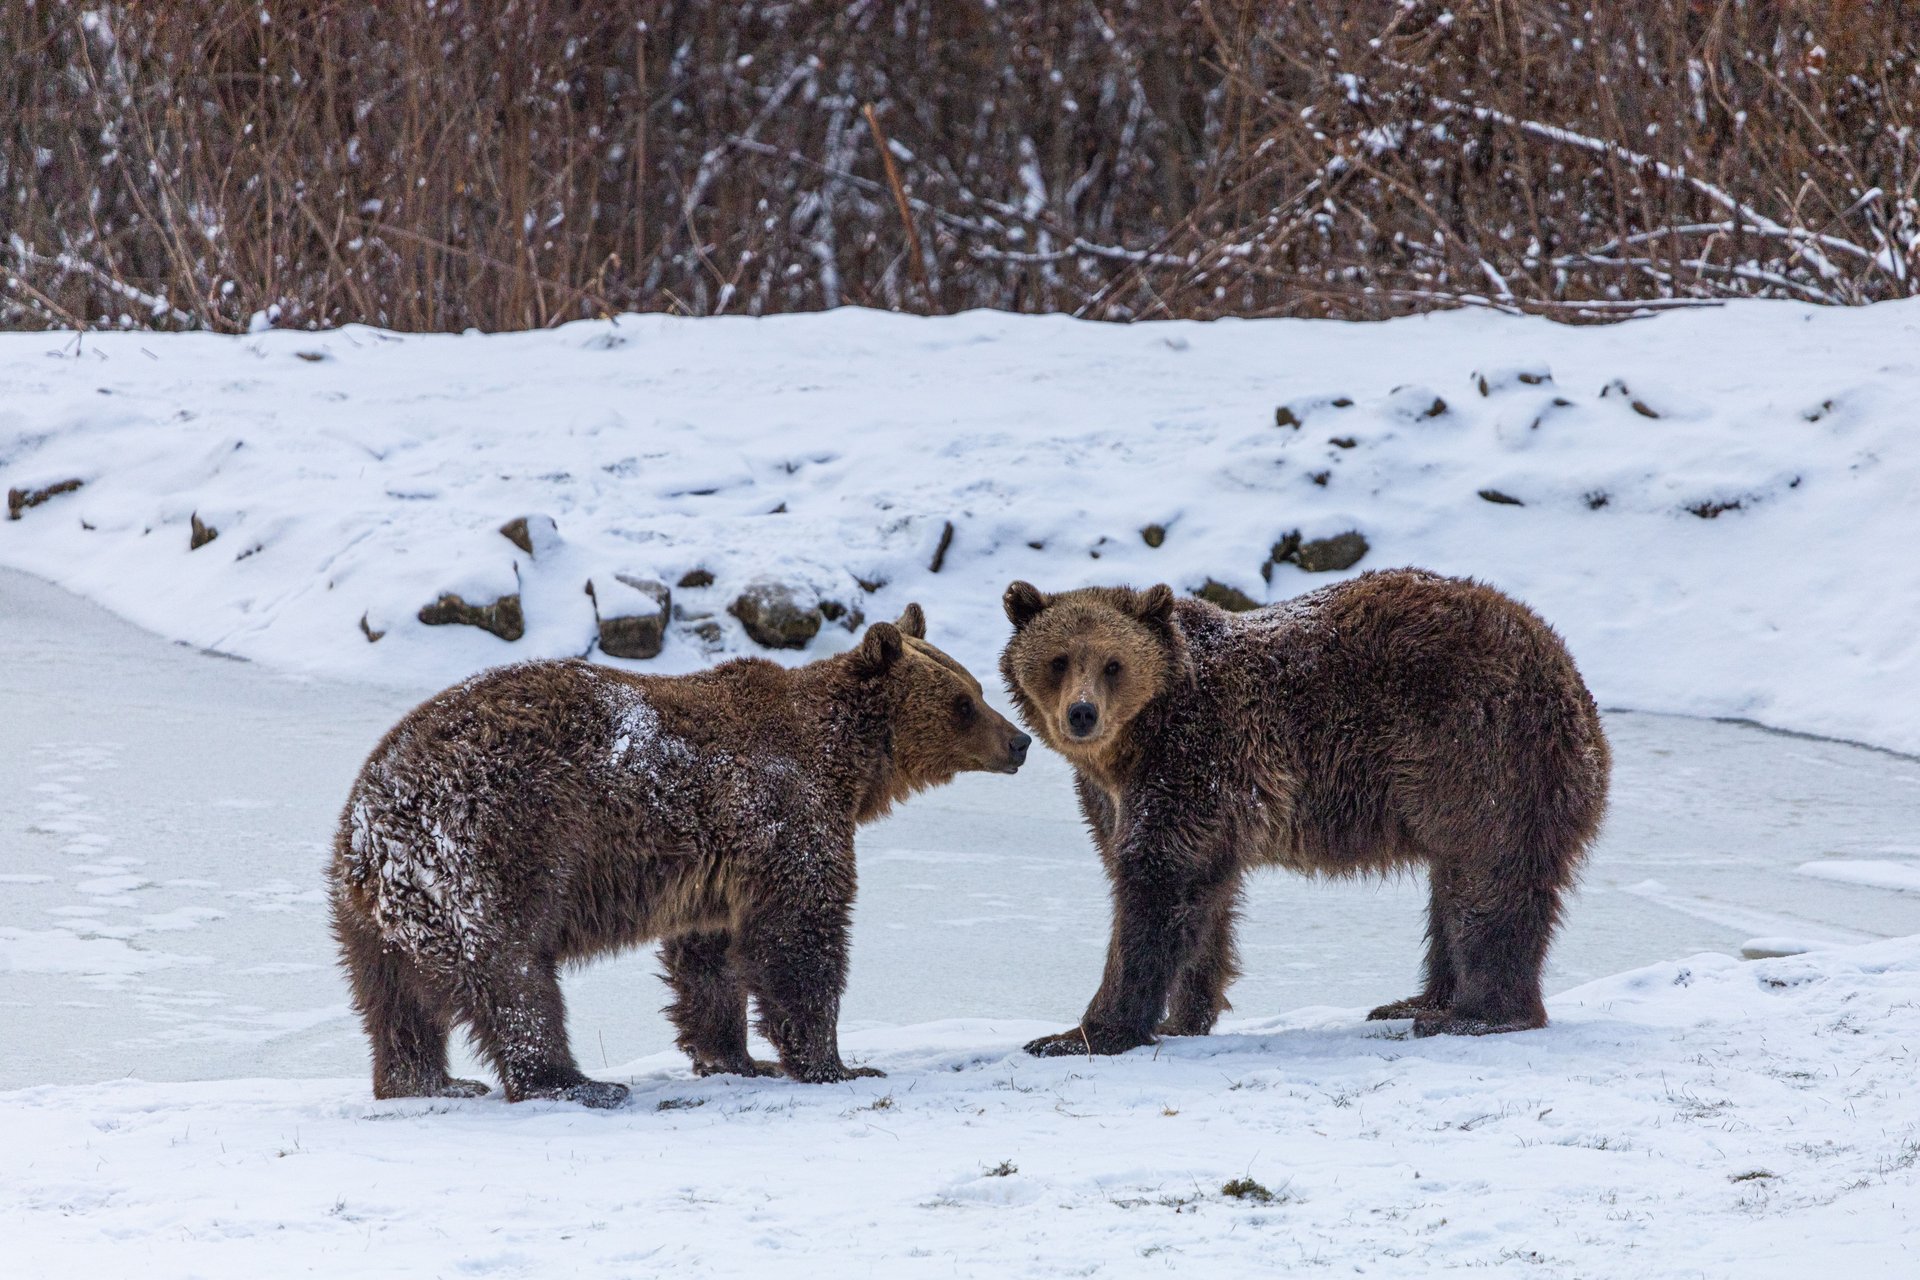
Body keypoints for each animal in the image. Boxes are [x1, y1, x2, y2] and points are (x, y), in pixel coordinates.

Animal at [329, 604, 1030, 1106]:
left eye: (977, 685)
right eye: (965, 702)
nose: (1019, 741)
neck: (846, 765)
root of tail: (371, 822)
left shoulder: (721, 862)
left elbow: (710, 959)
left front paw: (738, 1057)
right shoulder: (783, 814)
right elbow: (799, 936)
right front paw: (838, 1063)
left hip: (369, 915)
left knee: (391, 1001)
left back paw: (428, 1080)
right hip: (493, 851)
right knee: (514, 977)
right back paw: (576, 1082)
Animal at [999, 568, 1610, 1054]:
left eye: (1113, 663)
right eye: (1058, 661)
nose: (1082, 714)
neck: (1134, 741)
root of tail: (1567, 674)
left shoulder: (1193, 757)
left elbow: (1157, 880)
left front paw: (1080, 1033)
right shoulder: (1128, 796)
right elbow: (1202, 895)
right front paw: (1183, 1016)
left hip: (1477, 750)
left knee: (1487, 879)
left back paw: (1475, 1015)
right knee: (1453, 885)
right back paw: (1418, 1001)